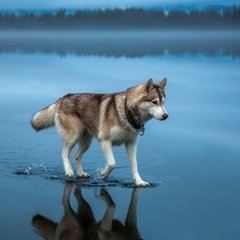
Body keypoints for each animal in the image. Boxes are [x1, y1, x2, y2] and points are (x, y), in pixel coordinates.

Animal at [31, 78, 168, 187]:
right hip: (74, 136)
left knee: (76, 156)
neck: (127, 112)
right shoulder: (105, 140)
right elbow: (112, 163)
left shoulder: (131, 144)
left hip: (86, 142)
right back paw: (69, 171)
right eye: (154, 102)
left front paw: (139, 182)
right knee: (64, 153)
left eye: (163, 102)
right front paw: (103, 174)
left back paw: (81, 173)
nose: (166, 116)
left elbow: (134, 165)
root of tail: (63, 98)